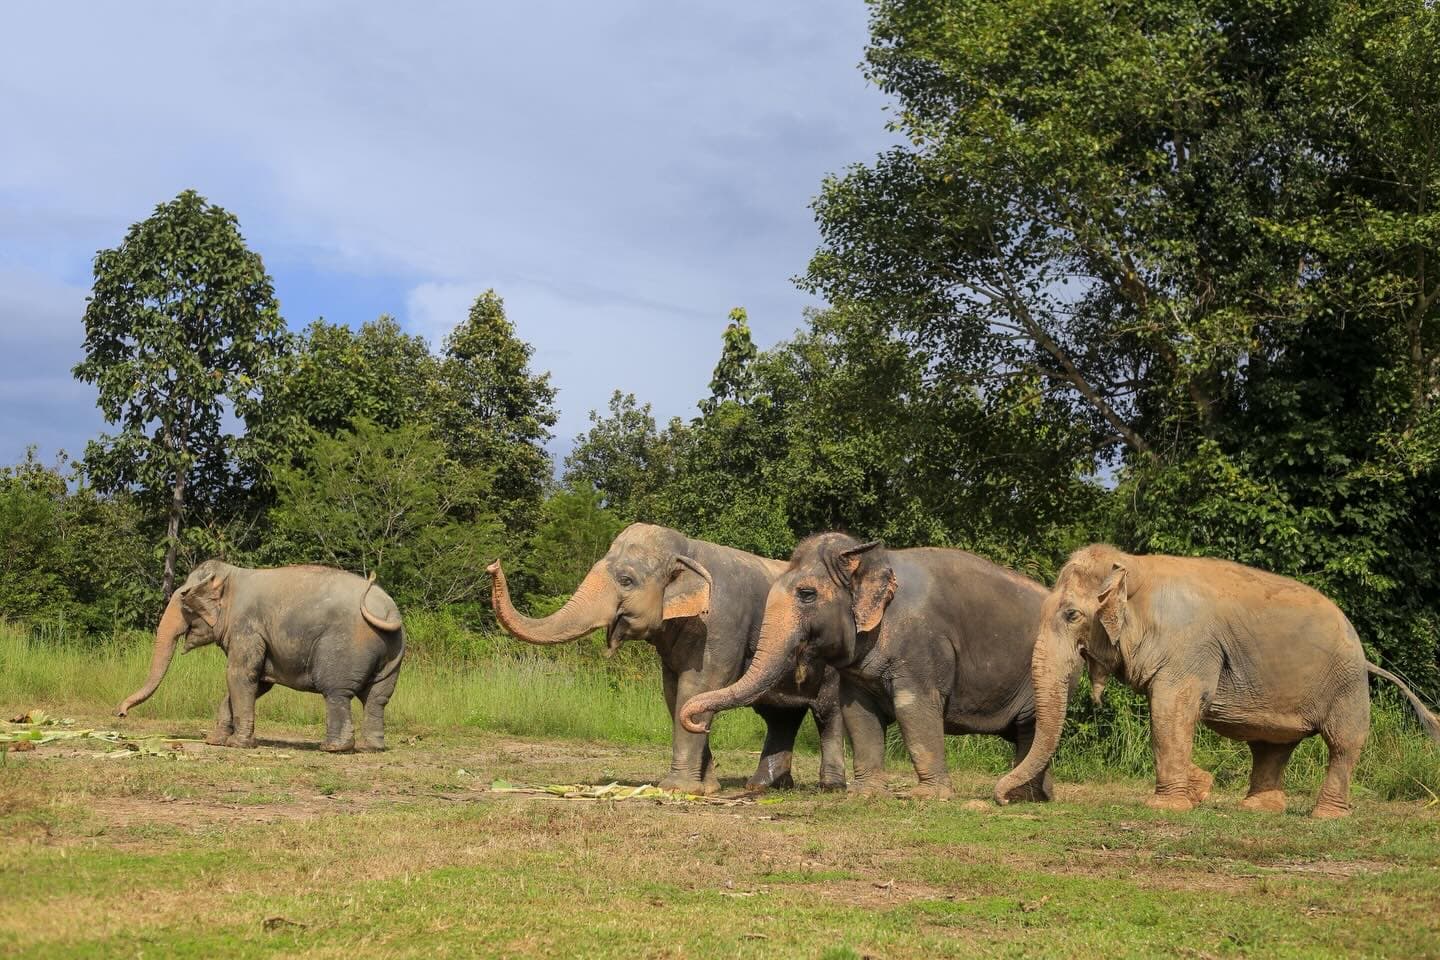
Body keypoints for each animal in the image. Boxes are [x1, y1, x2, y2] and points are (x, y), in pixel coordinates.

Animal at [117, 561, 406, 752]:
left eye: (184, 598)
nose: (120, 714)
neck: (232, 576)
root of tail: (390, 610)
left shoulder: (246, 626)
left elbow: (240, 675)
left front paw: (237, 744)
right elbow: (258, 682)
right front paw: (216, 741)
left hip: (345, 645)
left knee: (336, 692)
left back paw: (333, 747)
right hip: (393, 652)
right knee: (377, 698)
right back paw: (371, 747)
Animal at [487, 523, 847, 795]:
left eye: (627, 580)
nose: (493, 564)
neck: (688, 550)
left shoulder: (721, 624)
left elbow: (699, 687)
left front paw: (677, 788)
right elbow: (674, 694)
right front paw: (707, 788)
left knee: (827, 712)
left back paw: (829, 787)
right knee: (780, 717)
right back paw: (764, 787)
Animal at [680, 533, 1061, 801]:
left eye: (807, 594)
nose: (698, 722)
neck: (871, 558)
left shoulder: (921, 645)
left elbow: (914, 708)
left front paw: (928, 797)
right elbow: (858, 713)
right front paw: (865, 793)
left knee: (1031, 726)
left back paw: (1019, 796)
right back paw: (1031, 797)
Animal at [994, 544, 1440, 817]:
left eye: (1071, 615)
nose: (1001, 799)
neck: (1136, 566)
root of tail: (1366, 657)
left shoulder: (1189, 647)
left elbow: (1169, 709)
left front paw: (1169, 805)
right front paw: (1198, 789)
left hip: (1345, 684)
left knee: (1343, 743)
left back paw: (1325, 816)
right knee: (1272, 746)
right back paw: (1257, 810)